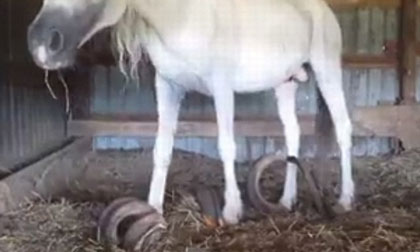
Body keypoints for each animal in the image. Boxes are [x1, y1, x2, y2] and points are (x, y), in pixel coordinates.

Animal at [27, 0, 354, 223]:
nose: (41, 43)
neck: (181, 17)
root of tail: (322, 10)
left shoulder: (222, 88)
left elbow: (226, 146)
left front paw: (232, 211)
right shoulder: (167, 86)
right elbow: (162, 149)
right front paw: (153, 208)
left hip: (327, 72)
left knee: (343, 129)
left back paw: (346, 199)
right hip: (285, 84)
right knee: (293, 134)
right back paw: (287, 200)